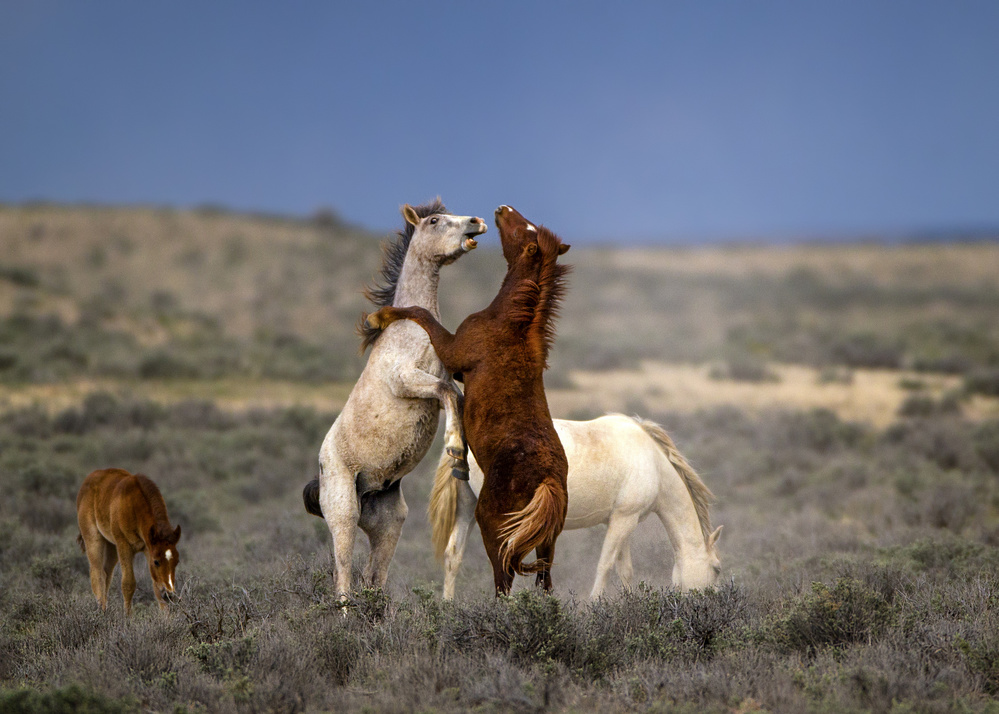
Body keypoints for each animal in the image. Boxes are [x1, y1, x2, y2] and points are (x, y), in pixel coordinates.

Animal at [77, 468, 183, 612]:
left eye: (177, 561)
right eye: (156, 562)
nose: (169, 594)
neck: (134, 506)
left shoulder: (148, 548)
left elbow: (156, 587)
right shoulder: (124, 545)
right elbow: (128, 584)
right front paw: (127, 617)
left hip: (112, 545)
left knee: (106, 574)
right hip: (93, 539)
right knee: (97, 574)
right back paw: (101, 612)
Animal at [306, 200, 490, 600]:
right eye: (435, 220)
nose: (477, 222)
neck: (412, 327)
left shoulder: (440, 381)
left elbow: (457, 397)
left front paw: (463, 456)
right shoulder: (408, 380)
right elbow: (448, 395)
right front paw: (454, 448)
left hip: (389, 524)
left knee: (372, 578)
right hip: (344, 515)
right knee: (343, 577)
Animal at [368, 203, 572, 592]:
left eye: (522, 230)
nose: (501, 209)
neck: (511, 324)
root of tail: (548, 481)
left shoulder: (452, 353)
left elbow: (421, 314)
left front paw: (379, 315)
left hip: (496, 531)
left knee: (504, 579)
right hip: (547, 541)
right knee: (545, 580)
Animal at [426, 412, 724, 596]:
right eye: (717, 569)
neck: (652, 460)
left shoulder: (623, 521)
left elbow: (624, 569)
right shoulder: (623, 520)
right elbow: (605, 566)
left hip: (466, 508)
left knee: (453, 557)